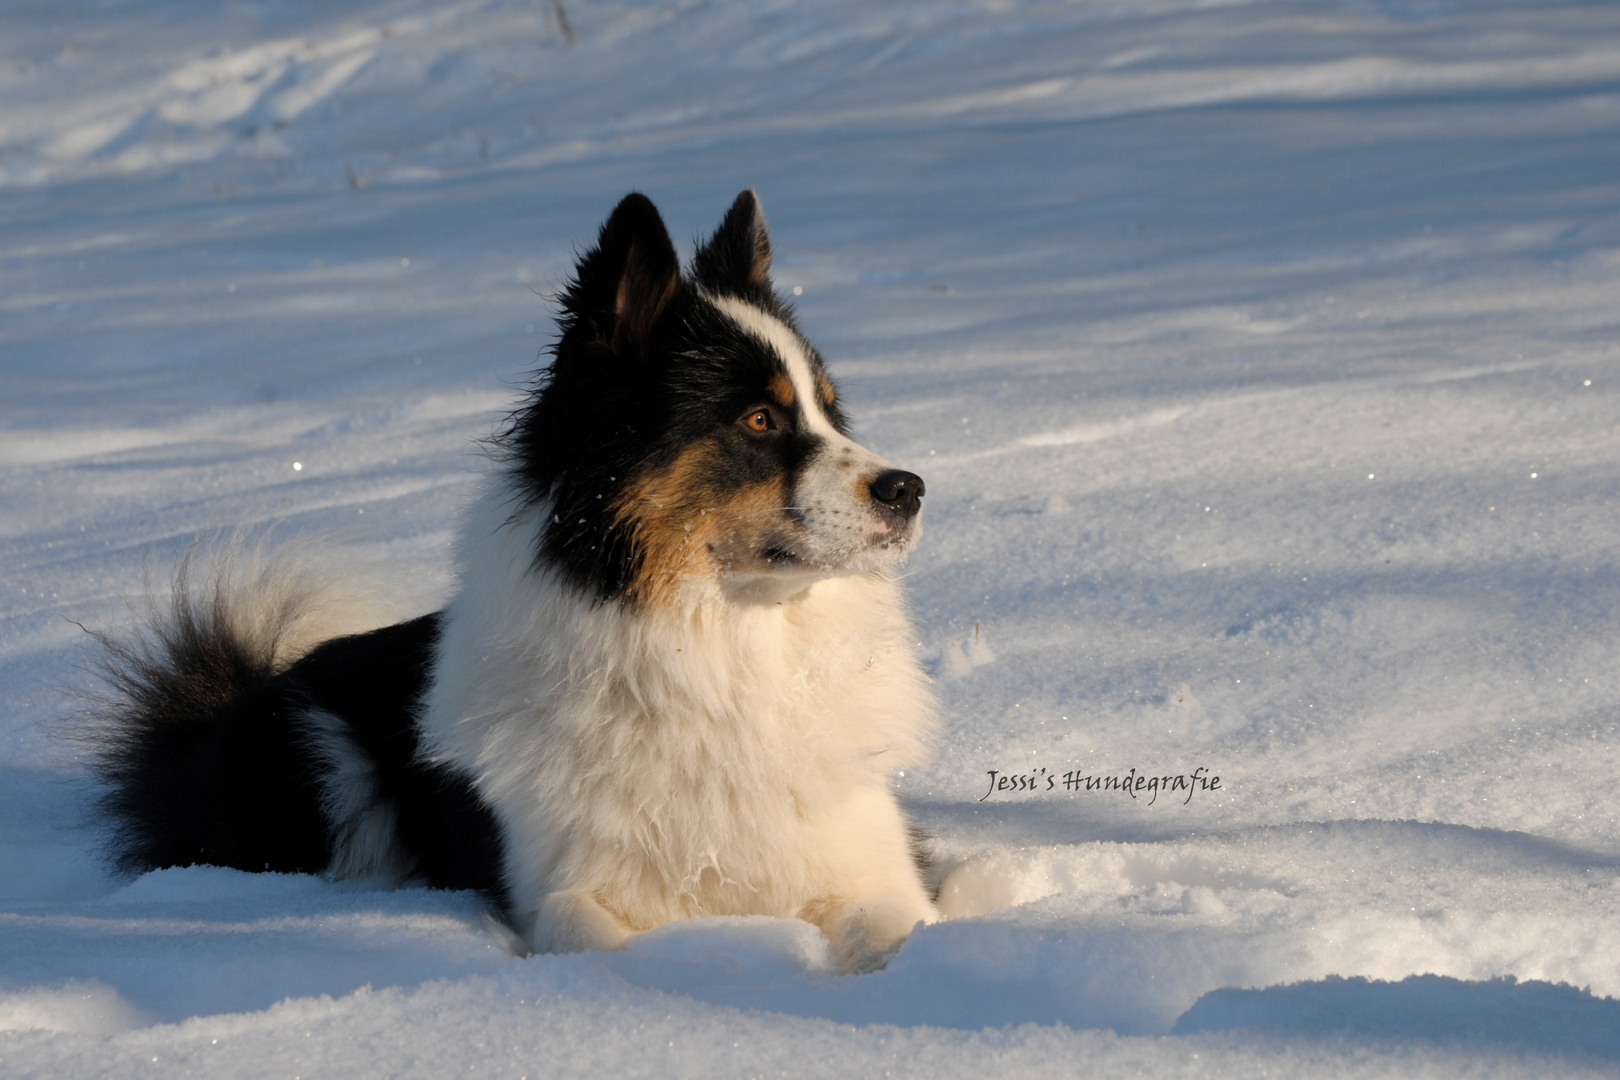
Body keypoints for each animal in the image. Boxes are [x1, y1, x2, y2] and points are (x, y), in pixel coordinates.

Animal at [91, 190, 939, 977]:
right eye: (760, 419)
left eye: (832, 413)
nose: (910, 489)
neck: (723, 657)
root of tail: (225, 699)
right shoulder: (563, 890)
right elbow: (590, 937)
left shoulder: (878, 870)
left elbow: (896, 930)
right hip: (318, 760)